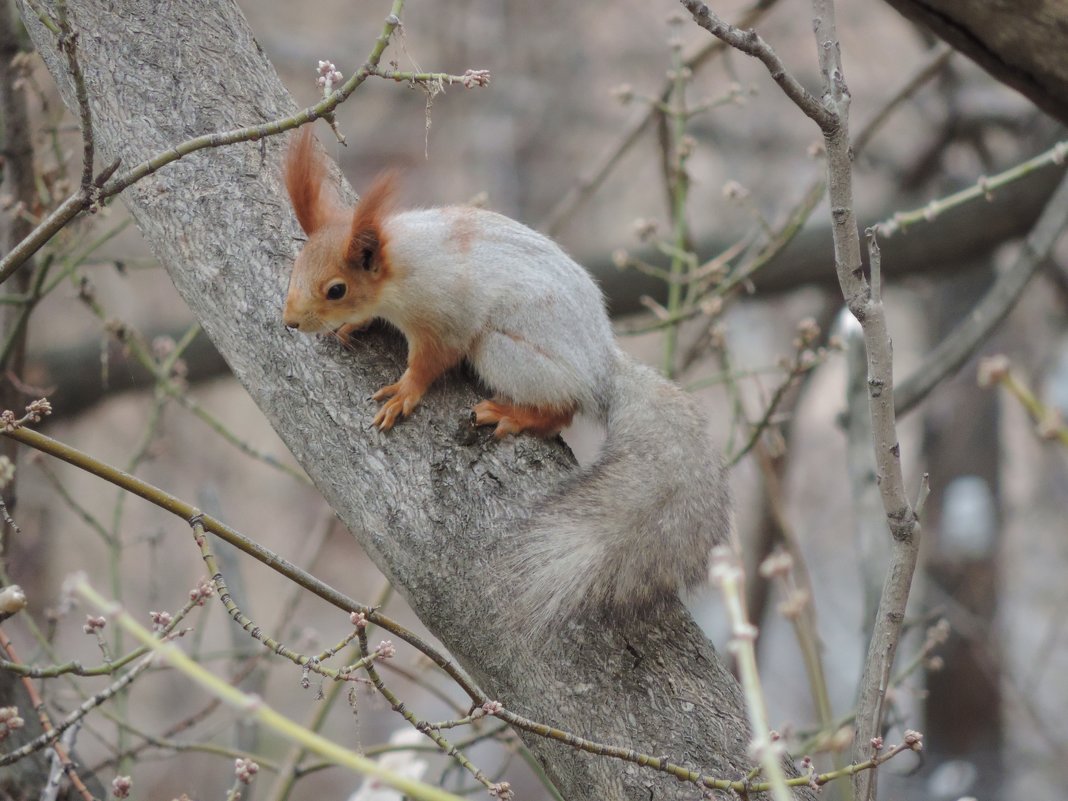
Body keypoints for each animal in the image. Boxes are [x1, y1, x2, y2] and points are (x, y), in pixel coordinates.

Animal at [279, 130, 730, 632]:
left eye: (336, 289)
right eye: (296, 265)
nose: (290, 322)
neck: (401, 266)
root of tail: (600, 367)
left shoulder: (444, 316)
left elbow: (432, 360)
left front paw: (404, 392)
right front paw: (354, 326)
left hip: (501, 351)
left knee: (562, 409)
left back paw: (512, 415)